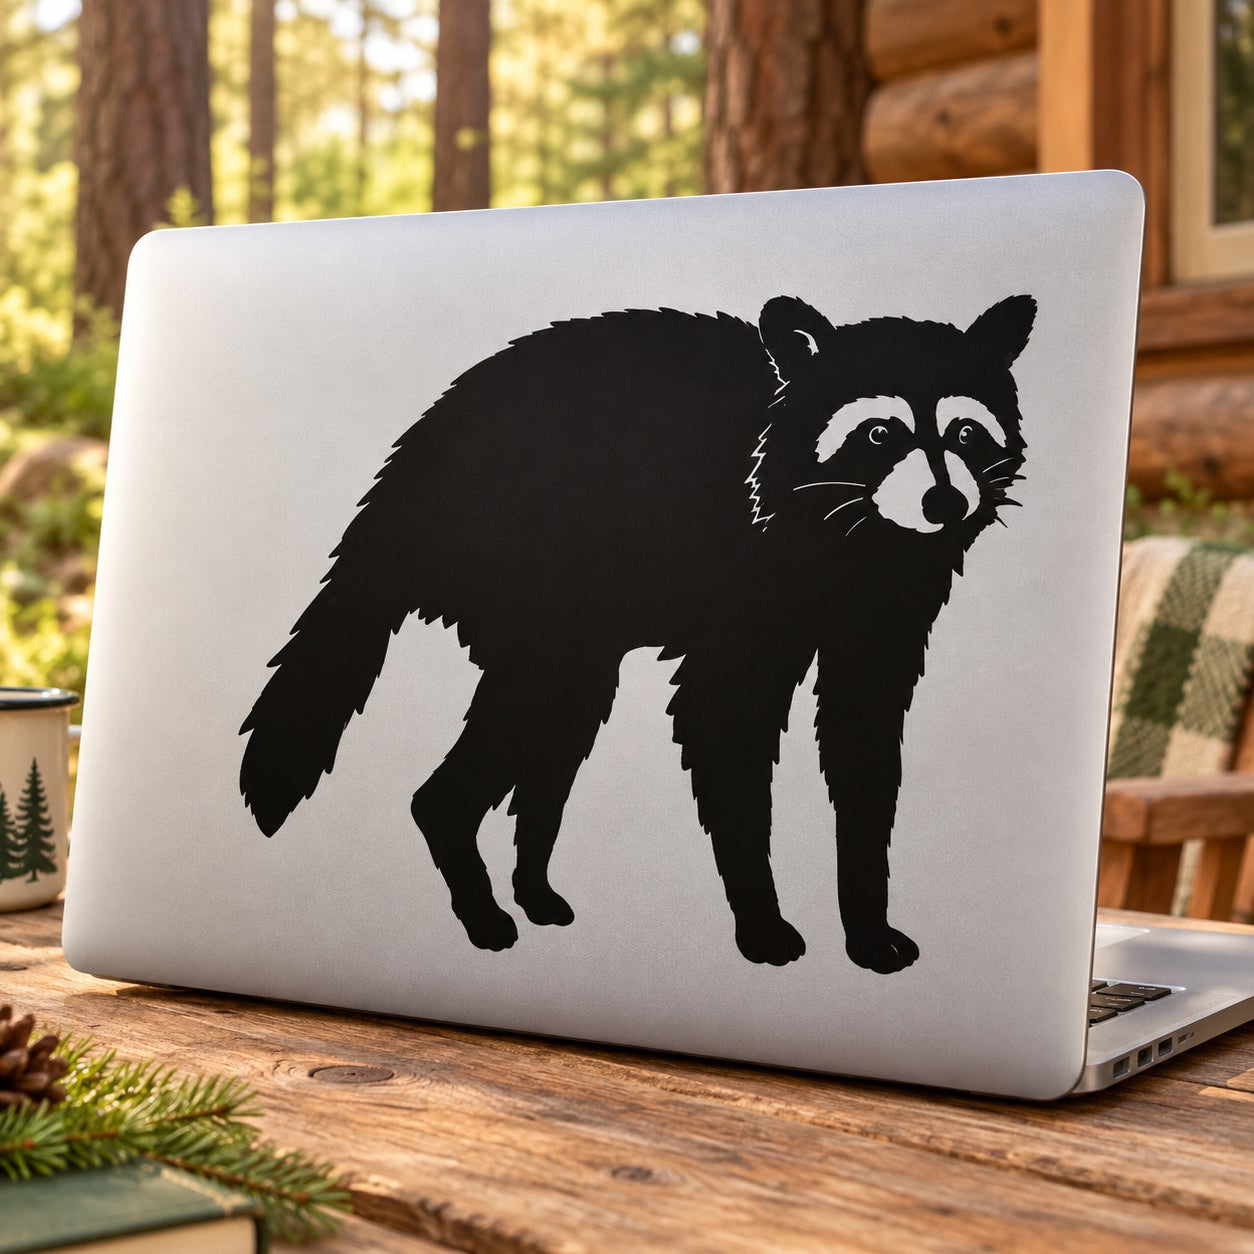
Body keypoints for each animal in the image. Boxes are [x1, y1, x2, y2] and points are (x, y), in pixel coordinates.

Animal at [240, 294, 1034, 971]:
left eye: (965, 430)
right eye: (879, 432)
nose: (945, 501)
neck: (855, 539)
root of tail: (403, 472)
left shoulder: (883, 611)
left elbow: (862, 748)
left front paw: (867, 924)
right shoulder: (744, 590)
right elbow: (727, 737)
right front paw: (760, 916)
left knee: (558, 734)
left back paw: (531, 885)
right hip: (522, 577)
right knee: (492, 747)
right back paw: (473, 880)